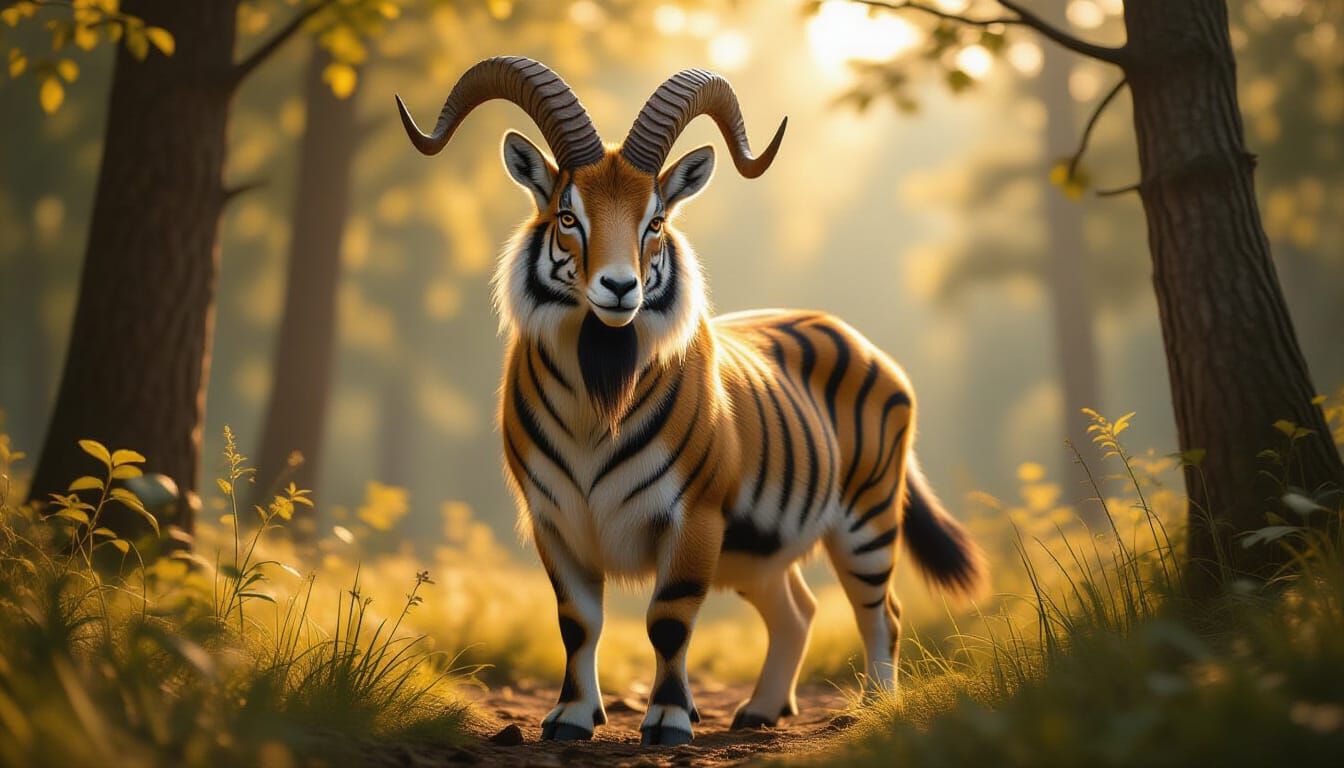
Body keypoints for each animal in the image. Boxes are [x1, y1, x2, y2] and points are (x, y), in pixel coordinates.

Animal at [396, 57, 987, 746]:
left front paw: (670, 721)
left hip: (867, 517)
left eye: (655, 221)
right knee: (798, 609)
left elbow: (669, 619)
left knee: (881, 611)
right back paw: (759, 712)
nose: (619, 287)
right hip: (759, 552)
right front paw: (572, 717)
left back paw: (872, 708)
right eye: (568, 216)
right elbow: (578, 620)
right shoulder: (555, 519)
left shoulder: (694, 518)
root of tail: (862, 341)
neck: (599, 397)